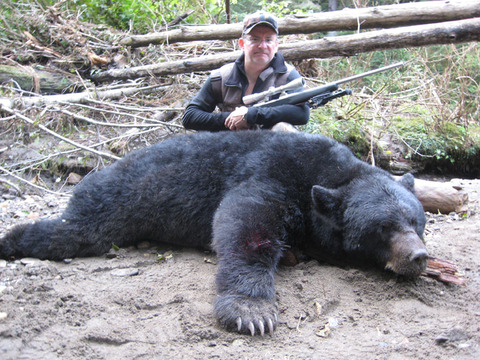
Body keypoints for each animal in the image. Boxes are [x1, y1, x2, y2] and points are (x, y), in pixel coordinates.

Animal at [0, 131, 428, 338]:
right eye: (383, 228)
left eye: (416, 222)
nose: (418, 256)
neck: (329, 174)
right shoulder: (271, 172)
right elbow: (244, 223)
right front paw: (251, 311)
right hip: (111, 202)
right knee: (73, 232)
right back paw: (12, 240)